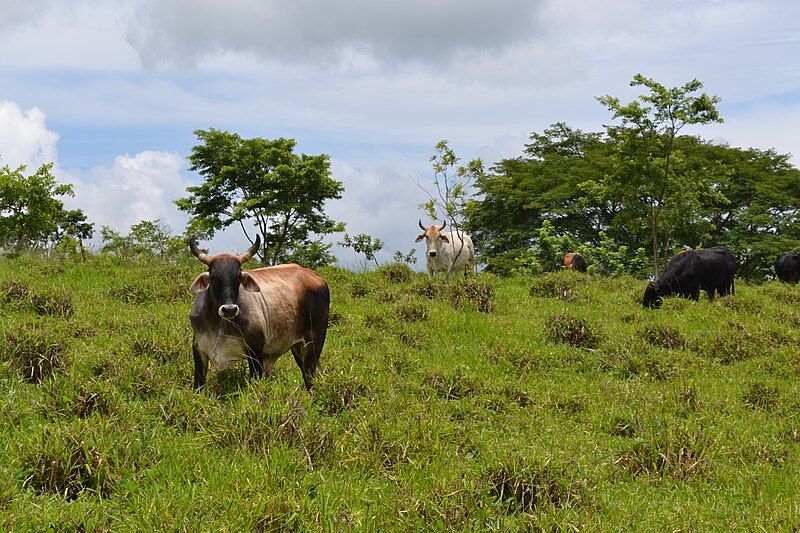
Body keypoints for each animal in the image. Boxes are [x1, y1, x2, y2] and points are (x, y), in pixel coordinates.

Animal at [187, 237, 328, 390]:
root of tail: (315, 276)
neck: (220, 324)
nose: (229, 309)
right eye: (213, 276)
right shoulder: (198, 350)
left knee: (309, 376)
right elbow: (199, 385)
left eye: (239, 276)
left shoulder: (255, 351)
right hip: (298, 346)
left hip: (314, 341)